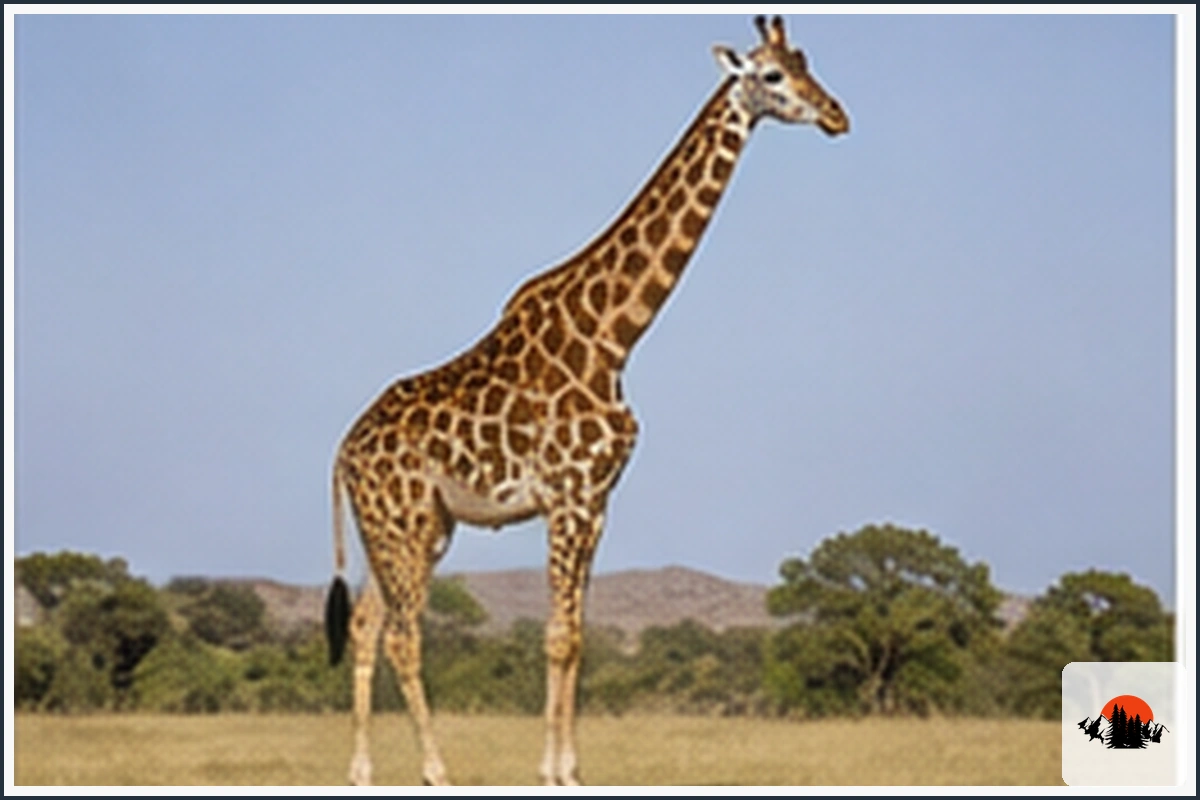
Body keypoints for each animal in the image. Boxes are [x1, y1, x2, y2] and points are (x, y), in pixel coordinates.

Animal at [325, 16, 849, 786]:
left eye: (808, 63)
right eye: (771, 76)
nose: (837, 115)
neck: (613, 337)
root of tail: (342, 451)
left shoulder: (598, 502)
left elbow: (578, 635)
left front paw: (570, 769)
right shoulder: (567, 497)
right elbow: (557, 637)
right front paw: (552, 772)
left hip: (411, 528)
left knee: (366, 626)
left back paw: (363, 772)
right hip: (403, 523)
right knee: (402, 635)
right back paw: (436, 771)